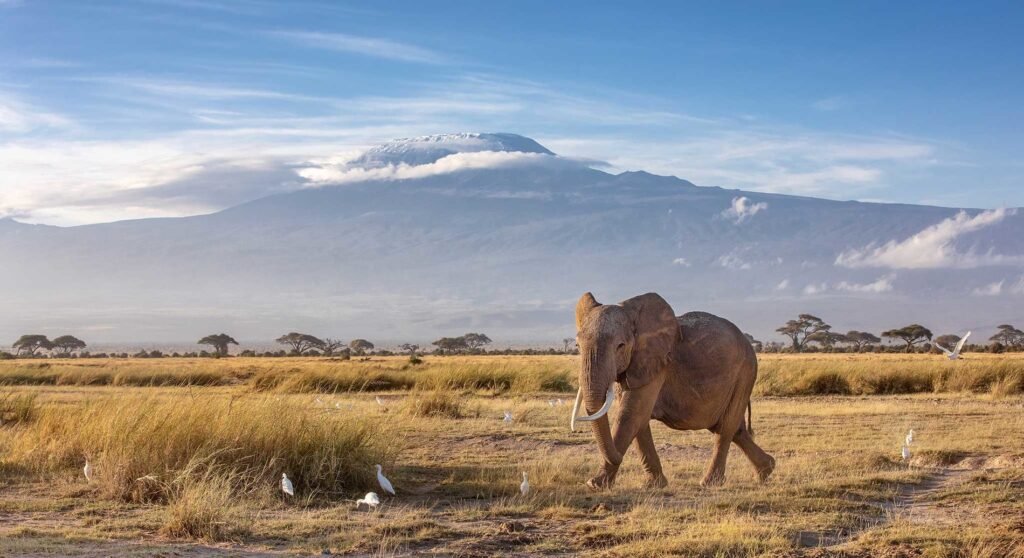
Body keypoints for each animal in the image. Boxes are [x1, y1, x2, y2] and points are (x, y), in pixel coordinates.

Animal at [569, 290, 774, 487]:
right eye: (577, 346)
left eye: (621, 346)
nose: (618, 457)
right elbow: (639, 420)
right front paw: (655, 484)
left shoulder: (658, 364)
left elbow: (630, 415)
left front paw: (595, 484)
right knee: (734, 429)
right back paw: (767, 470)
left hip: (745, 373)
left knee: (725, 427)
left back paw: (709, 482)